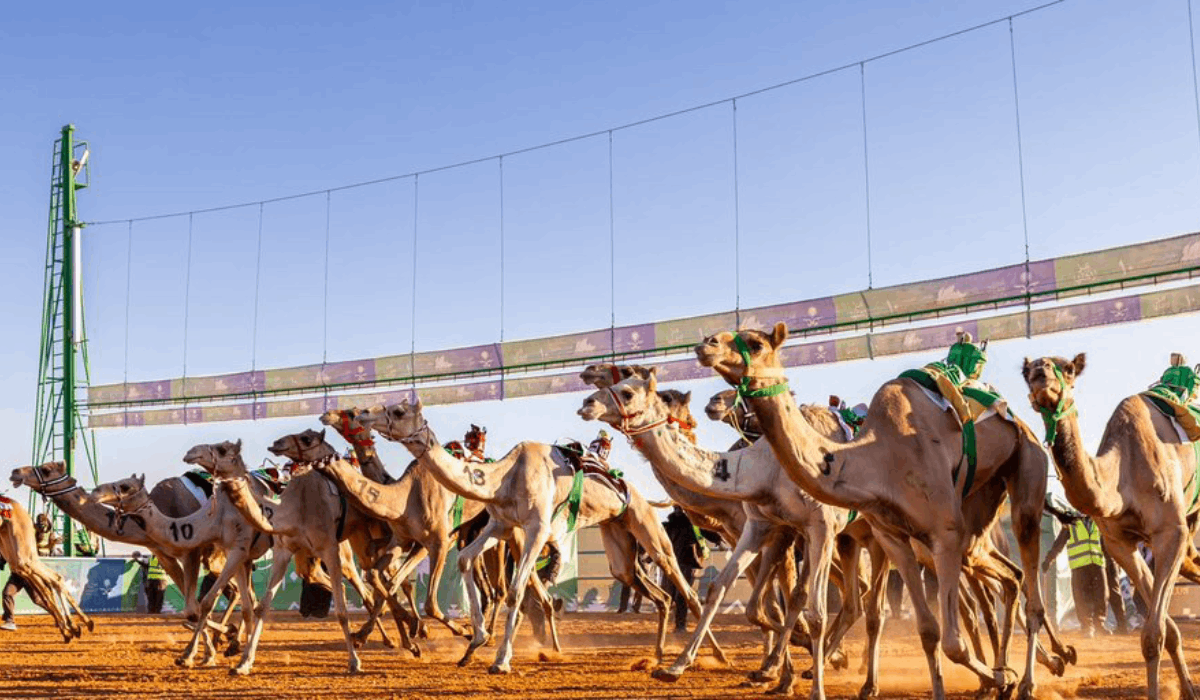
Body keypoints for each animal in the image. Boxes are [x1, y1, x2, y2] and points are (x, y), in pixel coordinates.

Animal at [0, 497, 92, 641]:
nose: (42, 525)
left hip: (22, 550)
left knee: (53, 580)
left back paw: (77, 626)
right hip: (13, 553)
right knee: (46, 586)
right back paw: (71, 628)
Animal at [199, 433, 419, 675]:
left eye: (222, 449)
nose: (193, 455)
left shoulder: (326, 548)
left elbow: (341, 610)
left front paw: (354, 661)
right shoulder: (275, 552)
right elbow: (257, 607)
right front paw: (242, 660)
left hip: (355, 545)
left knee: (378, 583)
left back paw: (405, 637)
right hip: (329, 552)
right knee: (366, 584)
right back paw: (395, 638)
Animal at [355, 398, 728, 674]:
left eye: (398, 411)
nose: (362, 413)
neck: (504, 478)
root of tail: (638, 494)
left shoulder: (536, 529)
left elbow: (516, 589)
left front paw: (501, 660)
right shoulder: (500, 526)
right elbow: (464, 560)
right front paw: (474, 642)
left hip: (648, 529)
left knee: (685, 590)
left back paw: (712, 657)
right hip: (620, 543)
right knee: (655, 593)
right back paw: (657, 656)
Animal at [696, 323, 1055, 700]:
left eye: (755, 343)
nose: (707, 345)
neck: (877, 457)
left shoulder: (943, 534)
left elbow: (953, 643)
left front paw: (1003, 677)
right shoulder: (892, 536)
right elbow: (929, 631)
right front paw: (987, 679)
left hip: (1027, 465)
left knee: (1027, 576)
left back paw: (1026, 681)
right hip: (976, 509)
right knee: (1007, 576)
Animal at [1023, 352, 1200, 699]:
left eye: (1068, 369)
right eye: (1026, 372)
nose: (1040, 375)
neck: (1122, 476)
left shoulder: (1170, 532)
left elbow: (1154, 633)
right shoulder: (1121, 544)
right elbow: (1167, 630)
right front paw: (1187, 690)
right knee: (1193, 563)